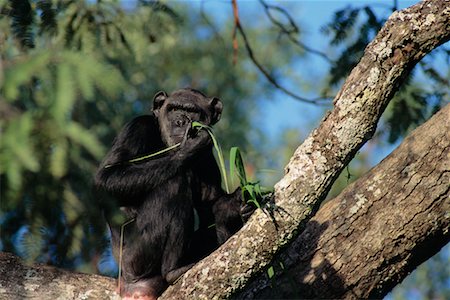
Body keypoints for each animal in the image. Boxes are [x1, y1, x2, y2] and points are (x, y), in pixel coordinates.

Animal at [94, 88, 251, 298]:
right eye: (174, 108)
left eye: (192, 111)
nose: (180, 121)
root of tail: (127, 285)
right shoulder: (136, 128)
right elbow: (106, 178)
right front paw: (189, 147)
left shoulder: (208, 157)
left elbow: (210, 206)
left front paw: (238, 204)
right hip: (135, 261)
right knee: (172, 184)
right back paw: (172, 270)